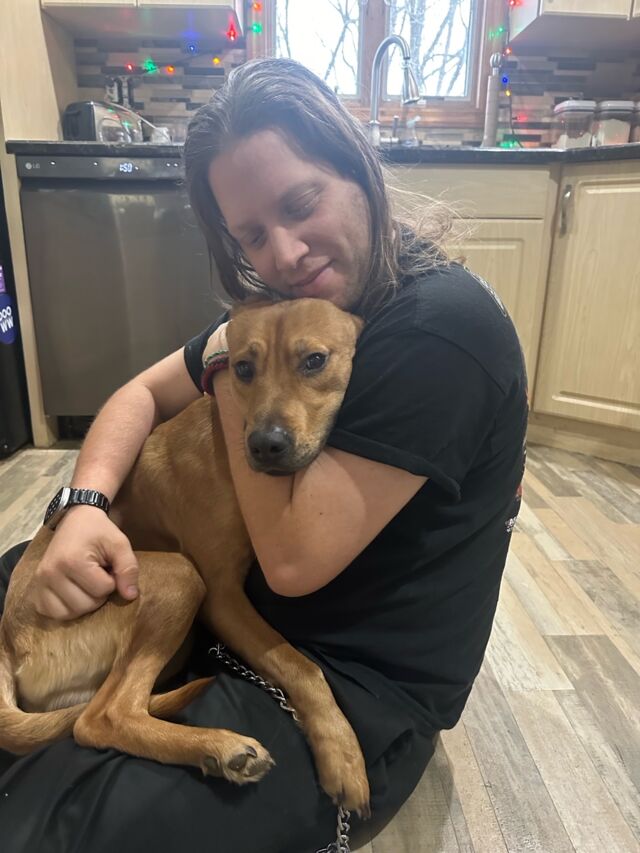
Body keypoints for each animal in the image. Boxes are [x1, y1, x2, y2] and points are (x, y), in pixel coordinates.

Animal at [0, 298, 370, 816]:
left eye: (314, 361)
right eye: (243, 368)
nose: (266, 445)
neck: (226, 442)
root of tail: (7, 641)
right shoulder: (221, 596)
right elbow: (301, 665)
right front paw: (342, 753)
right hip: (179, 577)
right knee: (101, 718)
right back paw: (219, 747)